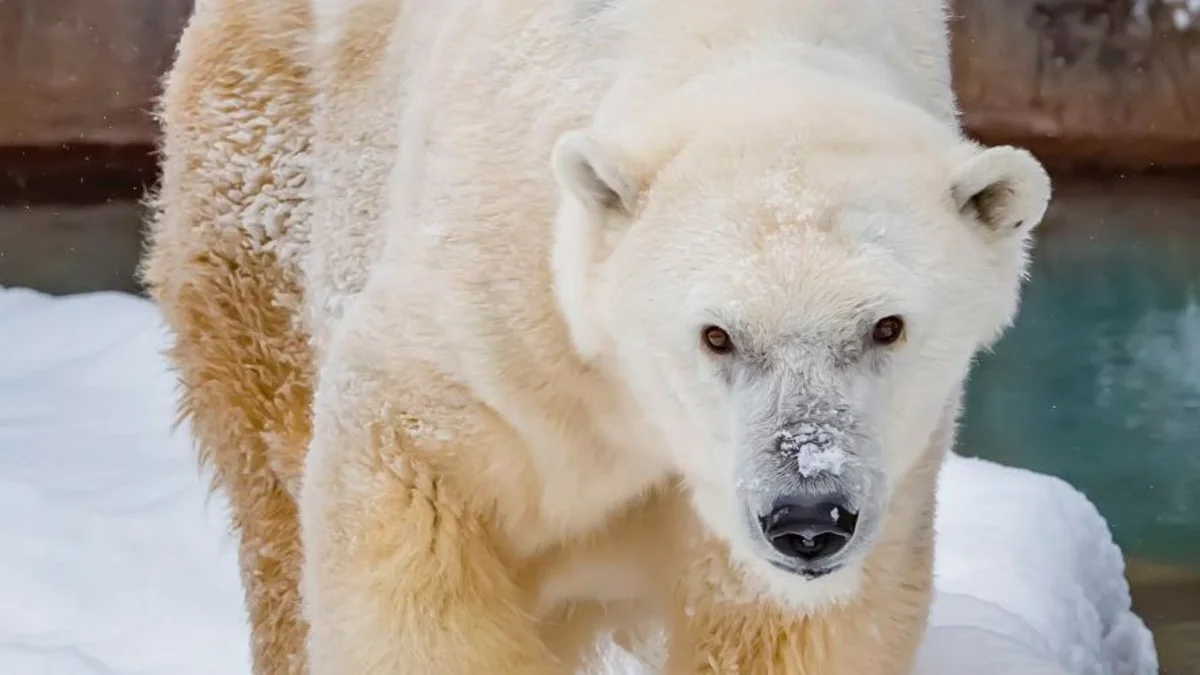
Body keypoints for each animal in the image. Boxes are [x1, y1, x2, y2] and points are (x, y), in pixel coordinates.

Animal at [140, 0, 1052, 674]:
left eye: (887, 326)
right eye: (716, 335)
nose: (807, 516)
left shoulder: (886, 476)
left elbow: (786, 625)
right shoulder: (504, 314)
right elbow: (412, 505)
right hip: (265, 181)